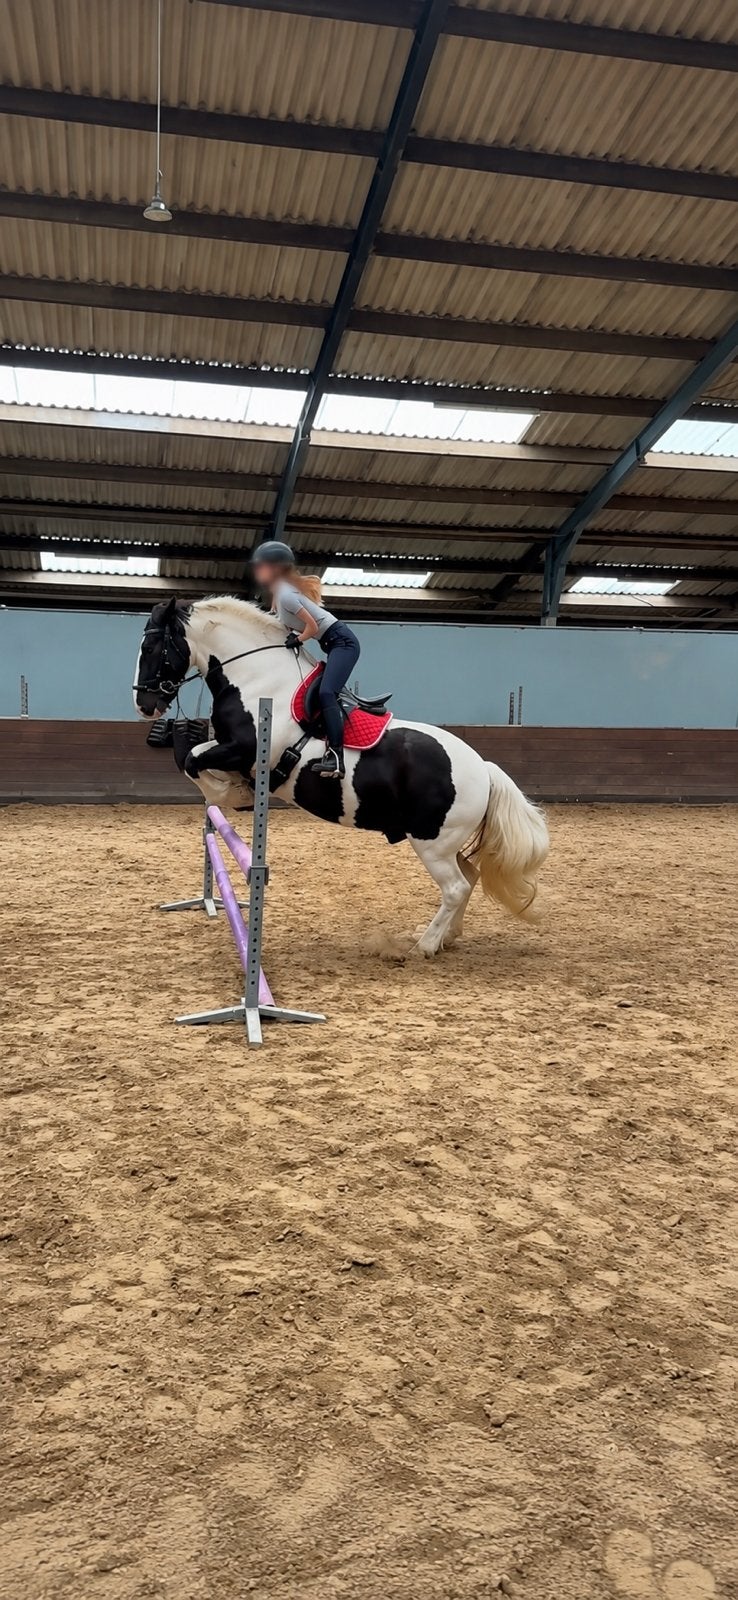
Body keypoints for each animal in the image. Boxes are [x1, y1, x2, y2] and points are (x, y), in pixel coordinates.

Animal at [133, 595, 549, 956]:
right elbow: (195, 758)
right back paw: (447, 937)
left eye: (151, 648)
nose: (144, 704)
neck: (255, 677)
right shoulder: (230, 748)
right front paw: (234, 791)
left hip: (432, 842)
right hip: (443, 841)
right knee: (471, 875)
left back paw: (424, 946)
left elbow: (192, 761)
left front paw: (233, 793)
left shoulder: (243, 748)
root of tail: (484, 769)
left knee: (456, 887)